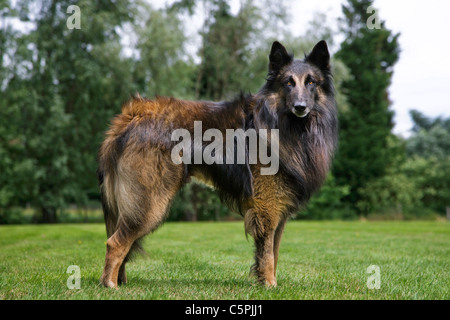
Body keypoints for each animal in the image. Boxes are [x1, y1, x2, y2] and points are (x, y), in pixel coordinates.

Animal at [98, 40, 338, 288]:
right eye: (288, 83)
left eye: (311, 82)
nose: (300, 107)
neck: (282, 123)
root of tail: (132, 115)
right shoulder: (267, 209)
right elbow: (268, 255)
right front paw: (270, 286)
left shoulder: (278, 212)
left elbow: (274, 252)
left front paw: (266, 282)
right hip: (149, 203)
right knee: (115, 243)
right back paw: (110, 285)